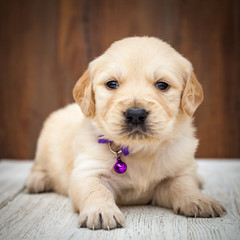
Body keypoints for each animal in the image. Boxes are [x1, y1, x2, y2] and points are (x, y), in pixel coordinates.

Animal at [27, 36, 226, 230]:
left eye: (162, 85)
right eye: (112, 84)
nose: (136, 114)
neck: (140, 150)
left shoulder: (178, 170)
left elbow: (184, 184)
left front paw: (198, 200)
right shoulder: (87, 171)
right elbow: (96, 190)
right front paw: (101, 211)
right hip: (44, 143)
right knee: (38, 166)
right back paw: (38, 181)